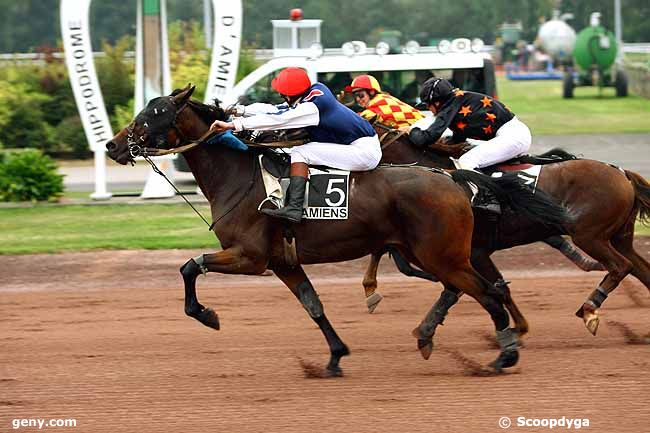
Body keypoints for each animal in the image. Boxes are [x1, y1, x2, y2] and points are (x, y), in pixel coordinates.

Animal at [104, 86, 568, 372]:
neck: (239, 177)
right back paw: (442, 338)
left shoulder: (249, 257)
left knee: (488, 292)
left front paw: (207, 315)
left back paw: (504, 352)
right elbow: (314, 306)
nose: (112, 145)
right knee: (477, 288)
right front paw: (335, 357)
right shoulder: (283, 262)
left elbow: (189, 266)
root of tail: (453, 178)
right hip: (432, 253)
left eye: (155, 112)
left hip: (444, 255)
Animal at [362, 121, 648, 338]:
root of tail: (622, 173)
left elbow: (472, 288)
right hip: (619, 237)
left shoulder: (472, 252)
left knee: (621, 267)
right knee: (641, 269)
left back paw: (589, 310)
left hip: (588, 235)